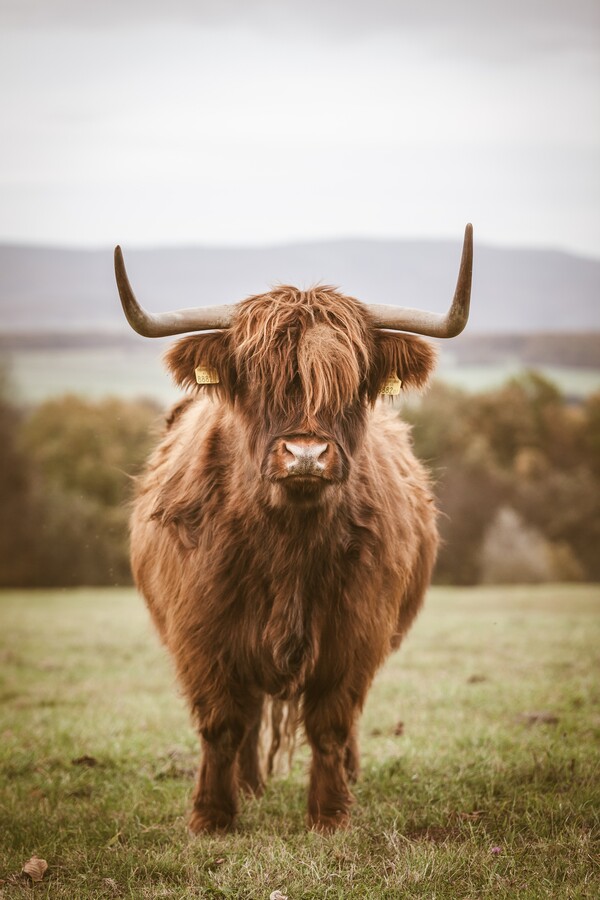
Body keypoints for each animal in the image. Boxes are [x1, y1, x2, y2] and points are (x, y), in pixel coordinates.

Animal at [113, 227, 474, 836]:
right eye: (256, 379)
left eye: (350, 383)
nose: (306, 453)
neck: (288, 543)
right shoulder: (202, 631)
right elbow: (222, 724)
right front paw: (213, 816)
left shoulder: (356, 631)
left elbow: (331, 723)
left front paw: (330, 814)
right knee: (250, 714)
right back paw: (249, 786)